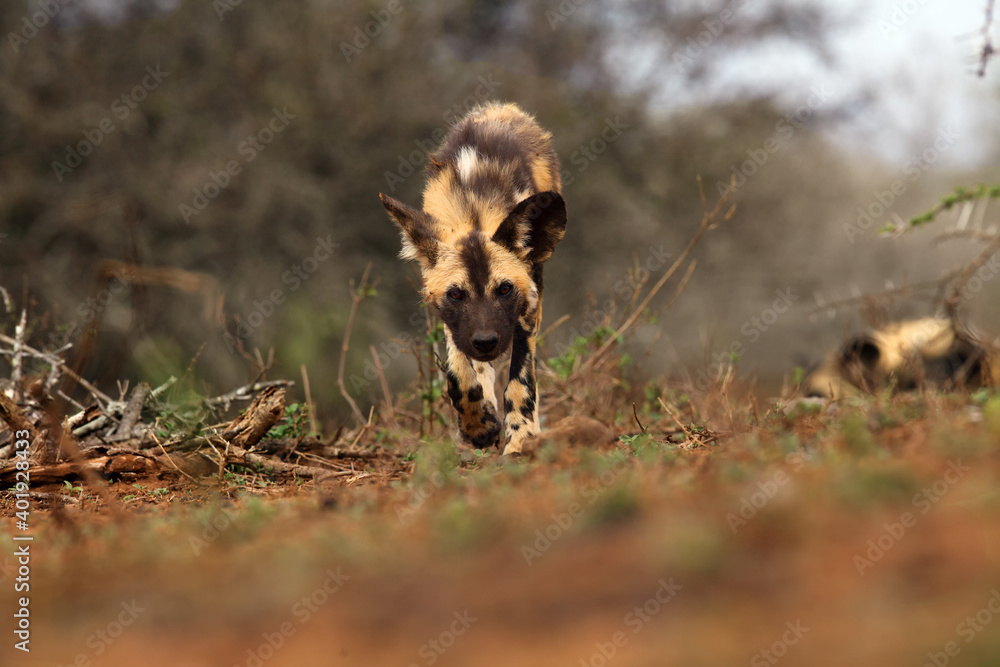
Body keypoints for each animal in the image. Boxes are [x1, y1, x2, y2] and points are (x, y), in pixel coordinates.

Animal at [378, 104, 568, 456]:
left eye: (505, 289)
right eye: (456, 294)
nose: (486, 342)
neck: (474, 209)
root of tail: (502, 107)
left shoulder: (527, 310)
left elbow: (521, 382)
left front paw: (520, 439)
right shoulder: (452, 322)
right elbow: (459, 375)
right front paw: (478, 426)